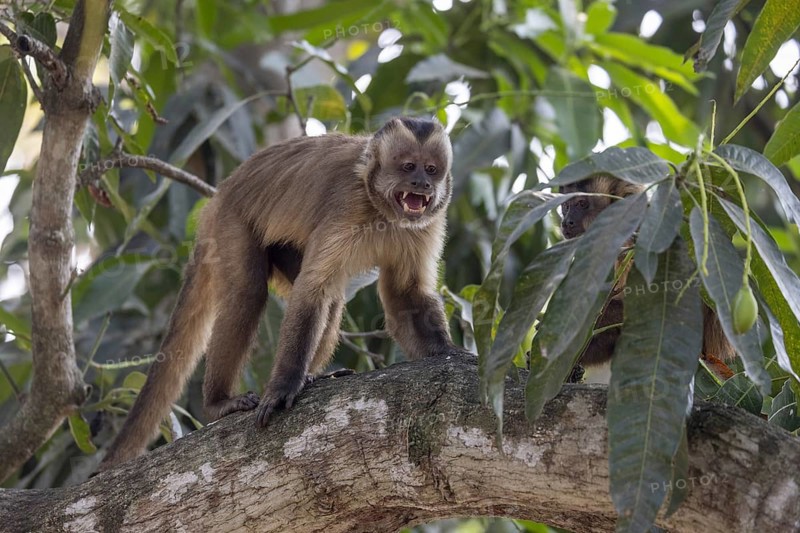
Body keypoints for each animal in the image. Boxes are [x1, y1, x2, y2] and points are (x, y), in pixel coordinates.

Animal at [99, 117, 465, 469]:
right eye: (408, 167)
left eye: (431, 169)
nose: (422, 184)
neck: (382, 210)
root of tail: (221, 193)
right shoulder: (347, 205)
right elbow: (311, 290)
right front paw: (284, 386)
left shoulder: (427, 225)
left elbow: (405, 294)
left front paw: (447, 352)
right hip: (230, 222)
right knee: (248, 294)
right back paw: (219, 403)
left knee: (333, 299)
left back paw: (314, 376)